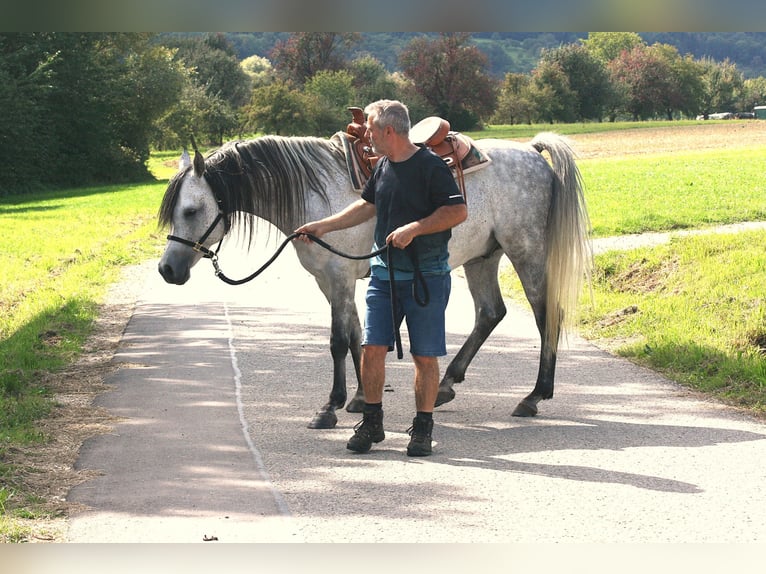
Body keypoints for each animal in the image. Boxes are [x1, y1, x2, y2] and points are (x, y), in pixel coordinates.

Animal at [157, 132, 591, 429]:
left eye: (191, 210)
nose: (167, 270)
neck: (314, 193)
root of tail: (532, 153)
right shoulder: (332, 281)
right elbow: (356, 335)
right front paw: (361, 397)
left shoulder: (338, 277)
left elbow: (337, 340)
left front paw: (330, 406)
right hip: (482, 258)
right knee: (490, 312)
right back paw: (447, 383)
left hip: (525, 251)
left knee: (546, 315)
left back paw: (534, 396)